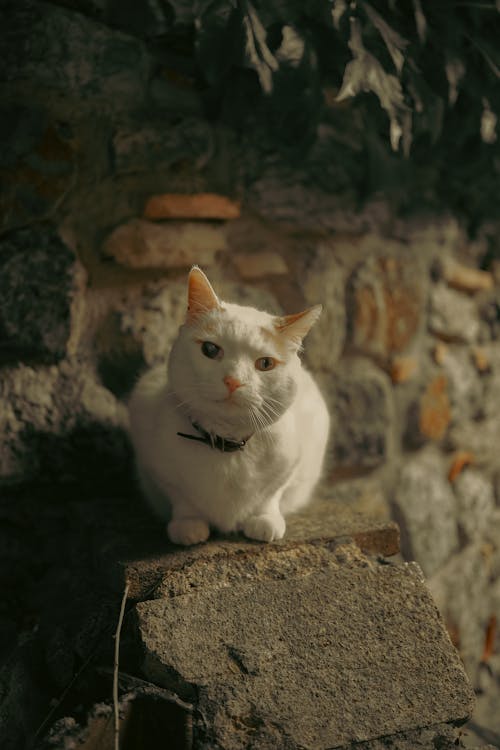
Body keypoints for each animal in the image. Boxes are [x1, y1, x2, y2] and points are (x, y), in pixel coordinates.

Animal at [129, 268, 330, 548]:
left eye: (265, 364)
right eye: (210, 349)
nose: (233, 380)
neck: (227, 445)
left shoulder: (292, 462)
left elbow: (271, 494)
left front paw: (264, 520)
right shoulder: (157, 463)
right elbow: (182, 500)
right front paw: (188, 525)